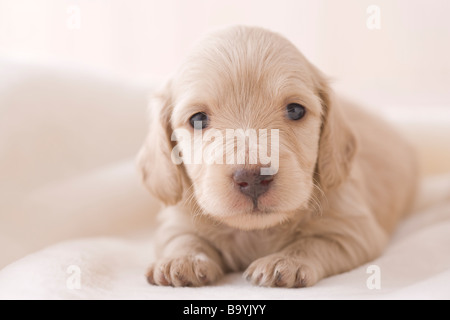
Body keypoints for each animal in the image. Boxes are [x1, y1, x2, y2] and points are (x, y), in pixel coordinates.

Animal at [137, 26, 418, 288]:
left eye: (295, 110)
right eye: (197, 119)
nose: (252, 178)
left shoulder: (353, 228)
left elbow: (313, 241)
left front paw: (285, 261)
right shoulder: (177, 218)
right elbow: (182, 238)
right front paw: (181, 260)